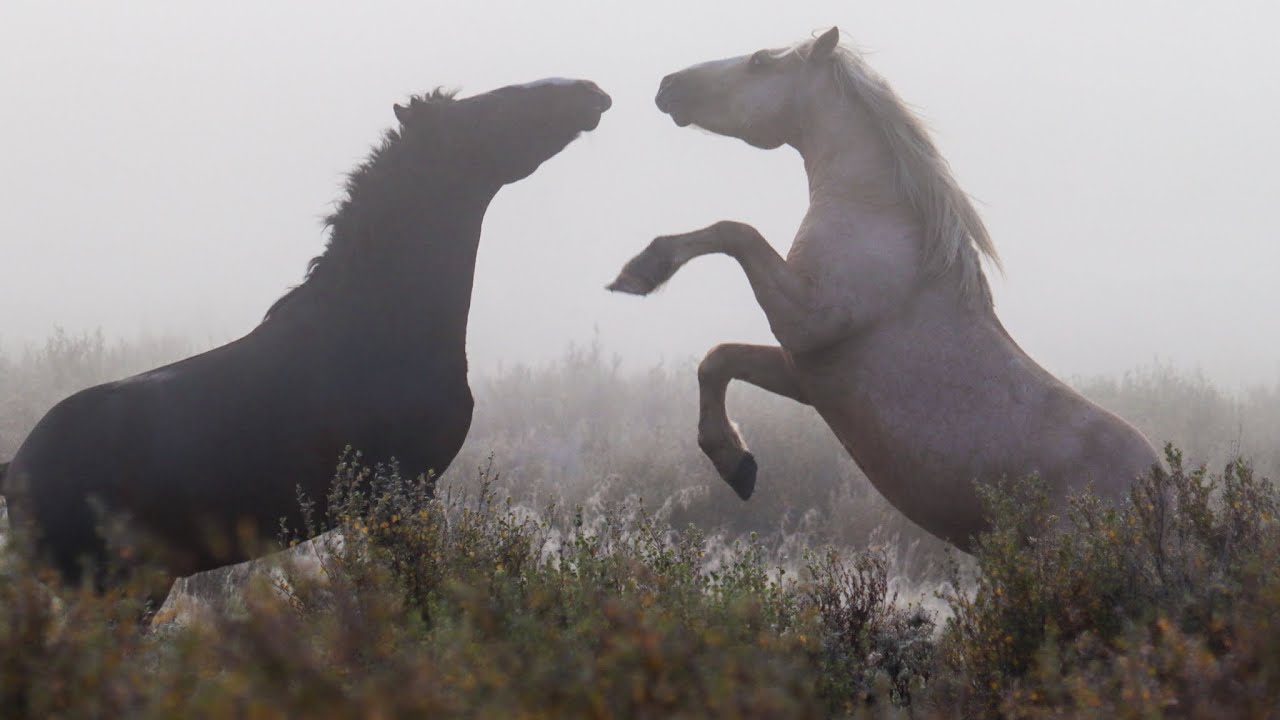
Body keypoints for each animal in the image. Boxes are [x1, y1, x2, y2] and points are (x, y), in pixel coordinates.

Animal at [608, 27, 1159, 551]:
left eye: (761, 60)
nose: (669, 85)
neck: (880, 219)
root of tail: (1161, 491)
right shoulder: (804, 371)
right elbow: (717, 360)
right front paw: (737, 465)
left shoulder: (809, 320)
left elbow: (734, 232)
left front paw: (642, 270)